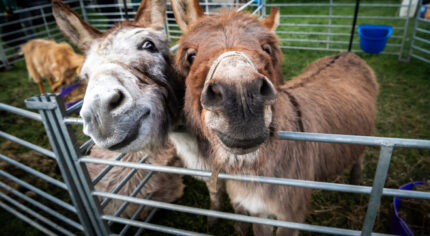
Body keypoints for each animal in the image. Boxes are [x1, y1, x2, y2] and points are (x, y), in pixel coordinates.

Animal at [170, 0, 378, 234]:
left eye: (267, 49)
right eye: (190, 56)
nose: (242, 97)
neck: (253, 170)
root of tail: (346, 52)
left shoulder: (291, 215)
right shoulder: (257, 212)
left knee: (359, 155)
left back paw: (356, 182)